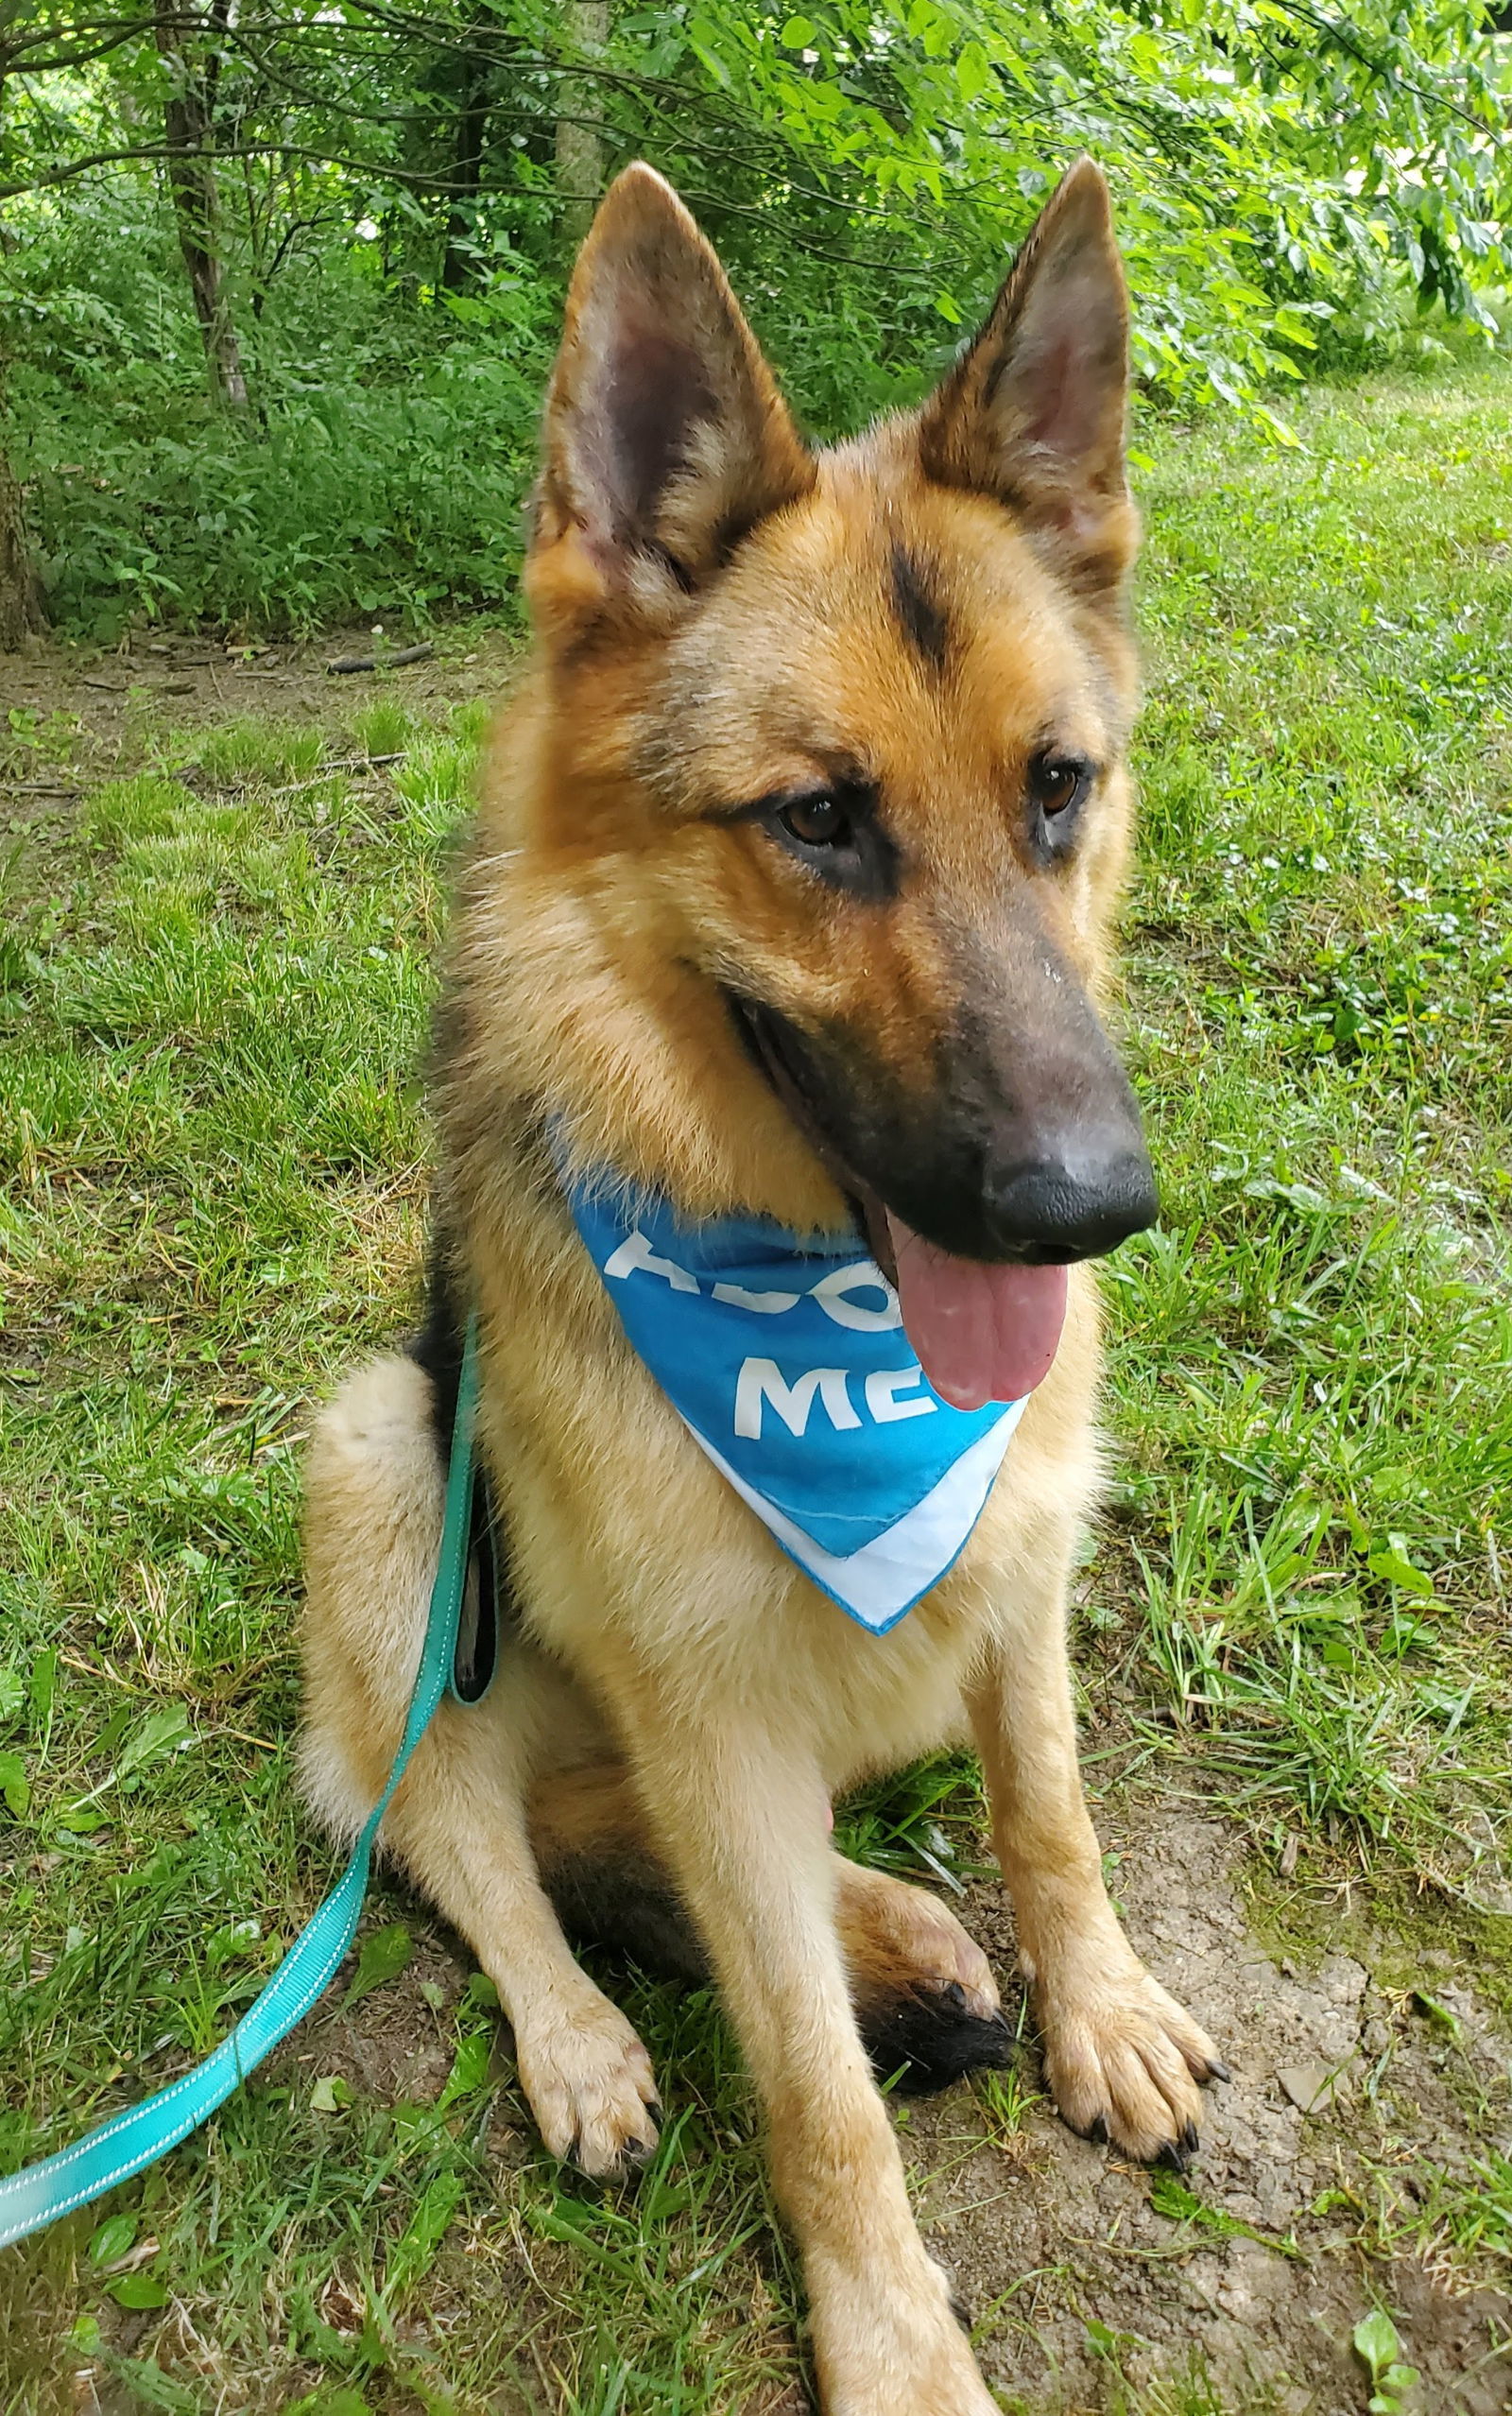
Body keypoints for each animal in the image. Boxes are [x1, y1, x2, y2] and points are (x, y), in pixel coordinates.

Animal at [297, 155, 1227, 2416]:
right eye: (816, 820)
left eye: (1057, 787)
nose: (1088, 1208)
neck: (818, 1336)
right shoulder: (708, 1713)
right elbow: (810, 2089)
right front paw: (892, 2345)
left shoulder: (1016, 1572)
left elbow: (1053, 1814)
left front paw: (1095, 2002)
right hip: (384, 1456)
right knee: (465, 1831)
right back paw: (596, 2027)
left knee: (608, 1821)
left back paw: (899, 1929)